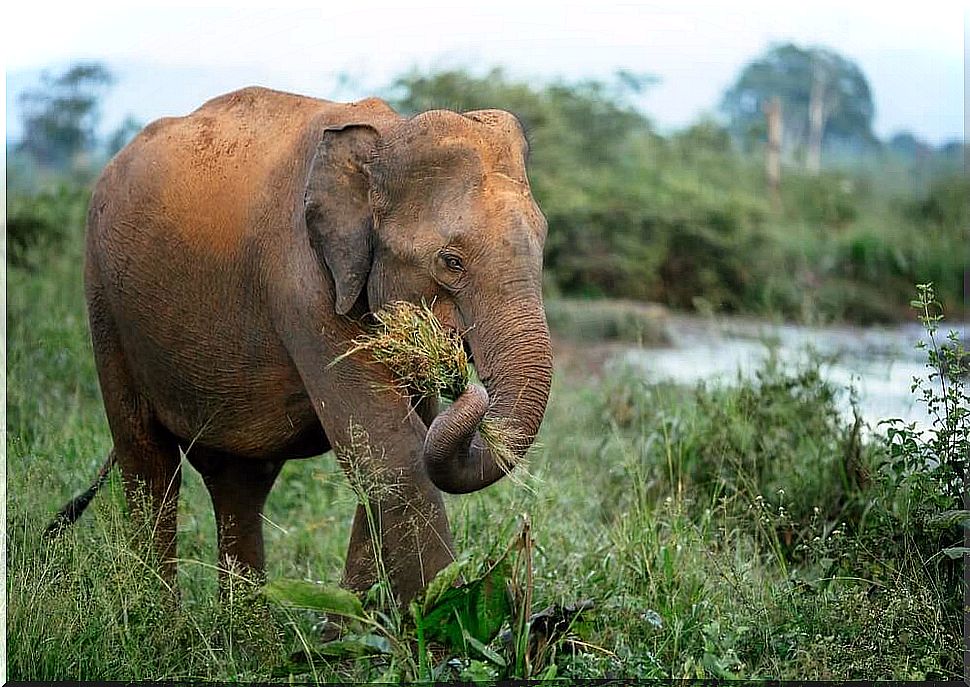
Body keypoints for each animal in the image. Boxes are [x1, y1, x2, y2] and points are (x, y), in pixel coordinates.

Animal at [49, 87, 552, 608]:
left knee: (237, 481)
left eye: (543, 242)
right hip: (104, 299)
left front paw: (354, 625)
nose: (467, 386)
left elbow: (395, 447)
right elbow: (393, 452)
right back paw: (161, 622)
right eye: (451, 262)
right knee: (148, 464)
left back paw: (245, 628)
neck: (386, 136)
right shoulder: (302, 283)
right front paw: (440, 621)